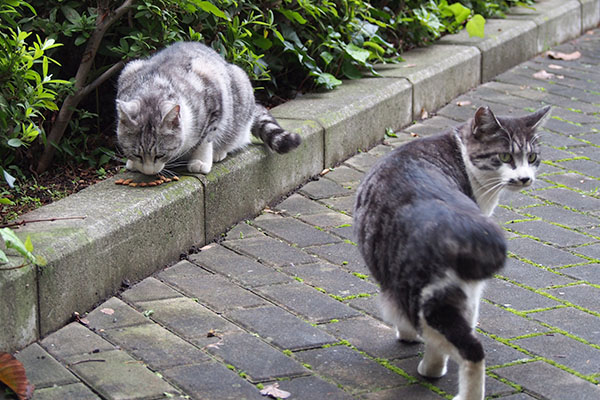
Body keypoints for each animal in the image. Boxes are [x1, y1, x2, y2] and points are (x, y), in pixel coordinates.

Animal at [114, 41, 300, 177]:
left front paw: (200, 162)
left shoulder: (214, 95)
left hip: (240, 82)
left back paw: (220, 151)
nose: (148, 172)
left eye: (160, 155)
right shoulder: (129, 70)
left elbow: (206, 138)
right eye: (137, 154)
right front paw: (133, 163)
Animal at [354, 106, 552, 400]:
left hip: (424, 293)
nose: (525, 178)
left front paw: (406, 334)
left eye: (532, 157)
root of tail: (454, 221)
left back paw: (436, 372)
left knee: (466, 347)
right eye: (505, 156)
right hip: (462, 292)